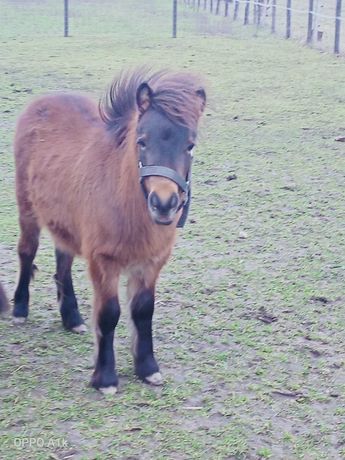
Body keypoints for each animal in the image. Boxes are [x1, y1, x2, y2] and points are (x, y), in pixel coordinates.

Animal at [12, 70, 206, 394]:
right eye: (142, 141)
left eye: (190, 145)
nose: (164, 204)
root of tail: (43, 101)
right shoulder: (103, 261)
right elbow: (109, 314)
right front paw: (105, 378)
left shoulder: (151, 263)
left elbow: (143, 311)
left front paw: (148, 369)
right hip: (28, 209)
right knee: (27, 252)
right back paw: (19, 309)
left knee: (63, 260)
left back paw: (72, 318)